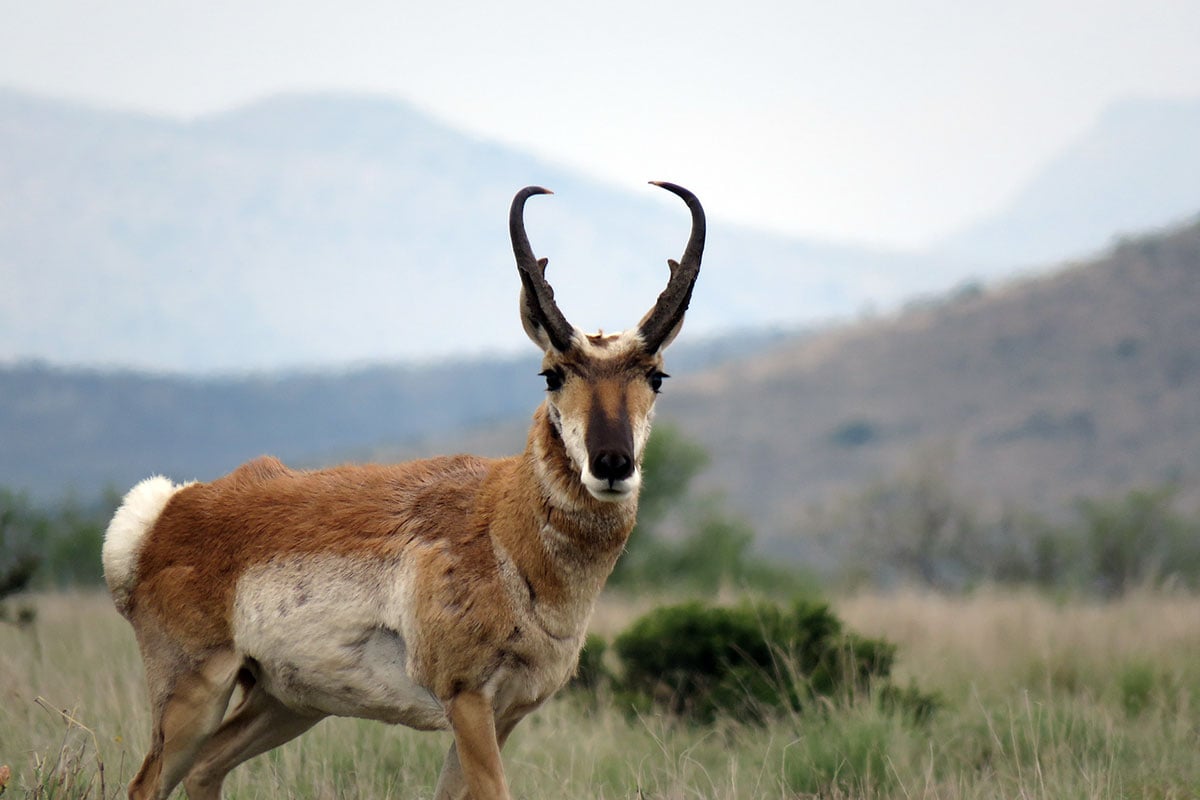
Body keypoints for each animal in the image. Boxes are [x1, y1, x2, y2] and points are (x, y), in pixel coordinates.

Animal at [103, 183, 705, 800]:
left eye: (656, 376)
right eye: (551, 374)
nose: (613, 463)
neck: (500, 526)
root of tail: (168, 510)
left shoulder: (505, 714)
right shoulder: (467, 700)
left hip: (285, 703)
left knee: (207, 767)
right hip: (194, 694)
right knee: (147, 784)